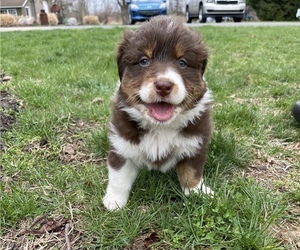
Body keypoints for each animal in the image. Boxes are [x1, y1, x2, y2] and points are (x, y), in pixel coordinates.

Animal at [103, 15, 213, 211]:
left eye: (182, 63)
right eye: (144, 61)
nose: (163, 85)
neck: (160, 127)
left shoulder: (196, 144)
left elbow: (192, 172)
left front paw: (197, 192)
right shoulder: (121, 144)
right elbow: (119, 176)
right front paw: (114, 200)